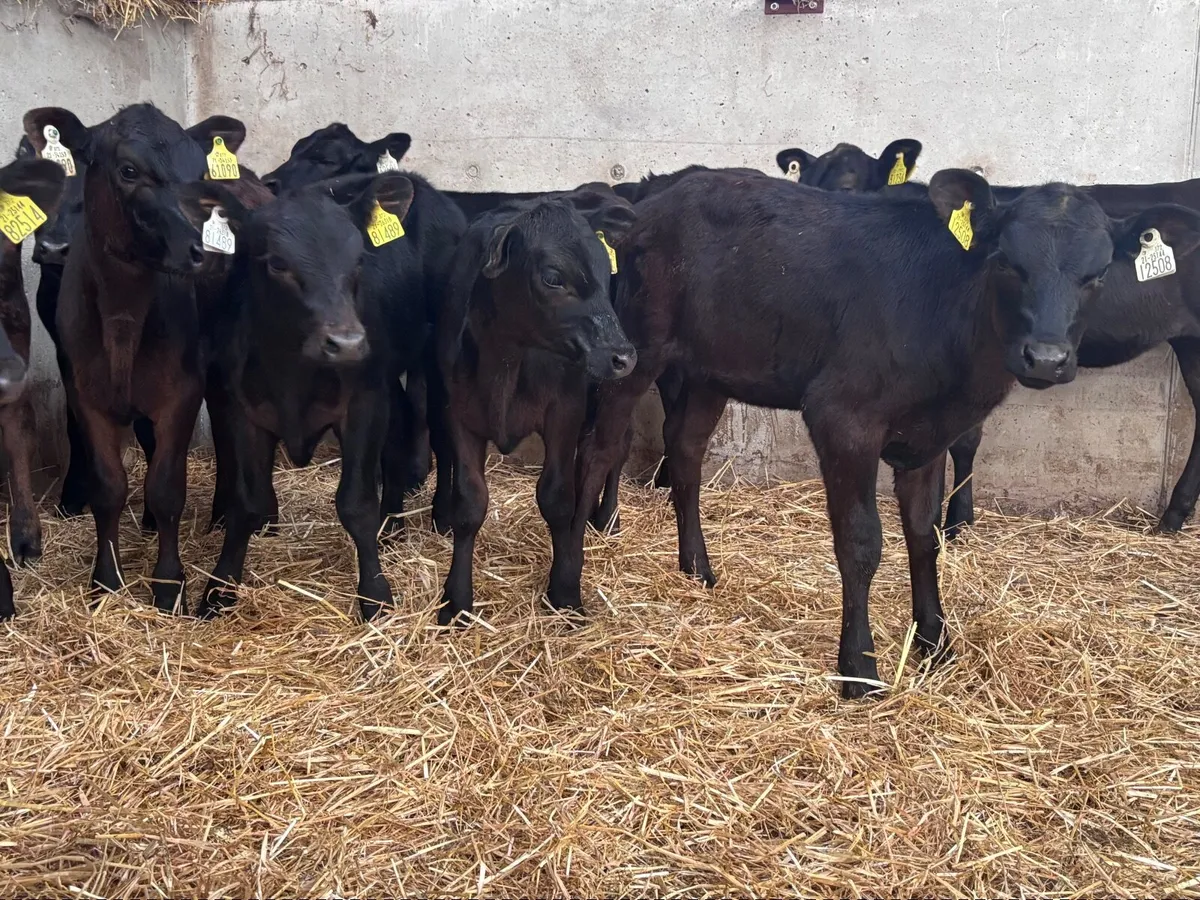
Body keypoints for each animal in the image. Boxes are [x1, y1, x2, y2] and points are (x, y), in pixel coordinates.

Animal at [22, 103, 247, 615]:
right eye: (128, 170)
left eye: (200, 172)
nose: (207, 251)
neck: (123, 319)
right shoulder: (85, 395)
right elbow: (109, 487)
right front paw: (106, 580)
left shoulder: (182, 394)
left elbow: (166, 488)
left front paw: (167, 584)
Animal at [182, 172, 417, 622]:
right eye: (277, 263)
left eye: (358, 261)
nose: (347, 344)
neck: (292, 372)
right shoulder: (242, 412)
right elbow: (246, 502)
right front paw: (220, 588)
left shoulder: (365, 403)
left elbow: (356, 503)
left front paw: (375, 594)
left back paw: (393, 523)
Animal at [436, 187, 637, 625]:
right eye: (552, 277)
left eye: (605, 271)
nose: (623, 356)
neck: (507, 360)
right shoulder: (458, 414)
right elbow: (470, 504)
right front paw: (456, 601)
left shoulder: (565, 411)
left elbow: (557, 498)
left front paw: (564, 591)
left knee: (618, 446)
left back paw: (607, 516)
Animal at [566, 169, 1200, 699]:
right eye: (1006, 262)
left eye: (1098, 276)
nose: (1046, 358)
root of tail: (653, 202)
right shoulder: (842, 417)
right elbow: (861, 543)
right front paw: (860, 668)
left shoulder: (930, 436)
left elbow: (924, 536)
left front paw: (935, 644)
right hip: (634, 351)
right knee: (600, 449)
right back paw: (568, 588)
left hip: (707, 370)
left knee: (686, 451)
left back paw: (697, 568)